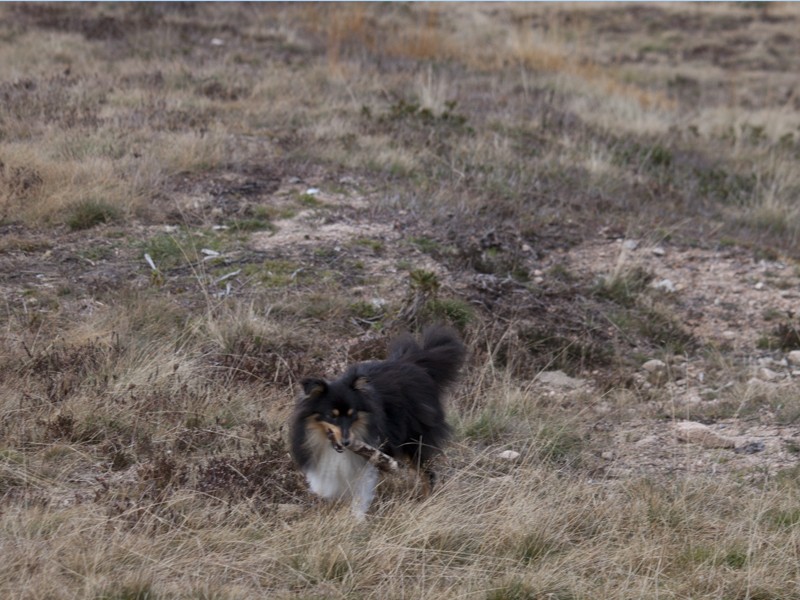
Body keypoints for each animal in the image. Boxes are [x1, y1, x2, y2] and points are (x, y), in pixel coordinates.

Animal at [290, 326, 466, 516]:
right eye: (332, 416)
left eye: (352, 414)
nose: (346, 442)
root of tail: (414, 363)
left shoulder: (367, 463)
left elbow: (360, 497)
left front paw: (357, 519)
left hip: (414, 441)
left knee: (427, 473)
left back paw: (425, 502)